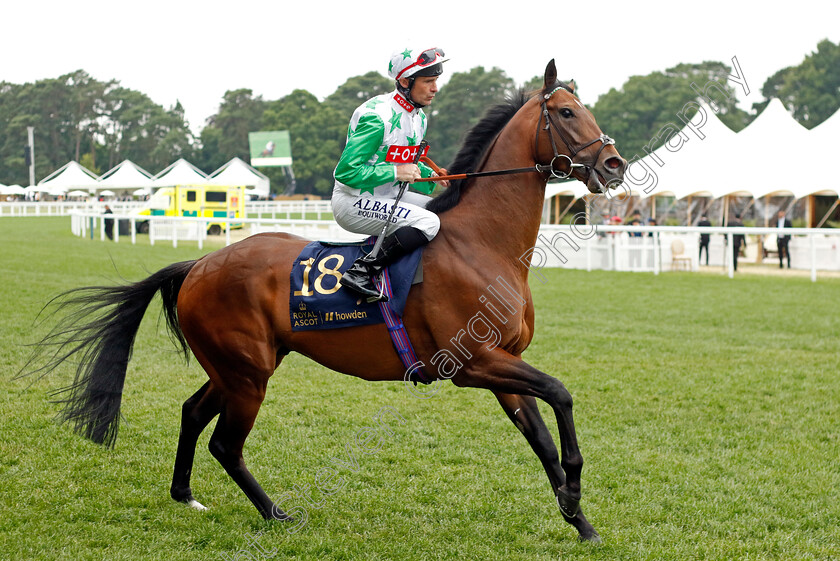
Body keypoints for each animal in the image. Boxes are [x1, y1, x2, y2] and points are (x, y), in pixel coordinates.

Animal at [27, 61, 624, 544]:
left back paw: (185, 495)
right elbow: (561, 395)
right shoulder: (473, 363)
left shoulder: (503, 363)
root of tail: (198, 265)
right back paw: (276, 513)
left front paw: (579, 519)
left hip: (237, 366)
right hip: (248, 373)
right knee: (226, 443)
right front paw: (574, 493)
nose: (615, 165)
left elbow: (543, 439)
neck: (482, 243)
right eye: (567, 112)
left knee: (193, 412)